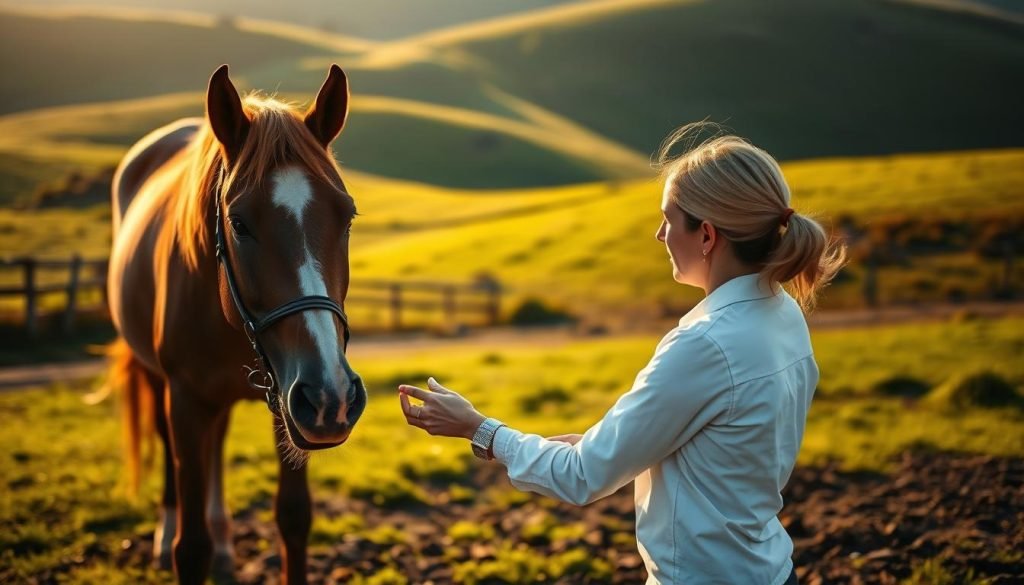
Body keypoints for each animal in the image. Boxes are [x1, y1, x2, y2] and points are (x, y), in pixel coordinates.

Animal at [105, 63, 367, 584]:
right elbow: (191, 547)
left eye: (346, 217)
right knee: (169, 447)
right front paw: (184, 540)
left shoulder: (287, 403)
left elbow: (293, 519)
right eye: (240, 223)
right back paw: (165, 532)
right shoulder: (186, 400)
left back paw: (226, 545)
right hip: (159, 379)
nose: (333, 397)